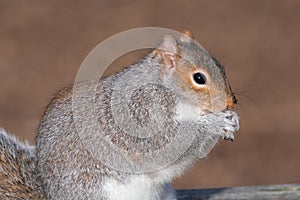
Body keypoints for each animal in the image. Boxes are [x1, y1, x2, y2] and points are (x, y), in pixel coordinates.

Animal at [0, 30, 239, 199]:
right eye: (199, 78)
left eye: (221, 67)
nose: (232, 102)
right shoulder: (139, 113)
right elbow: (165, 142)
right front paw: (214, 123)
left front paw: (232, 120)